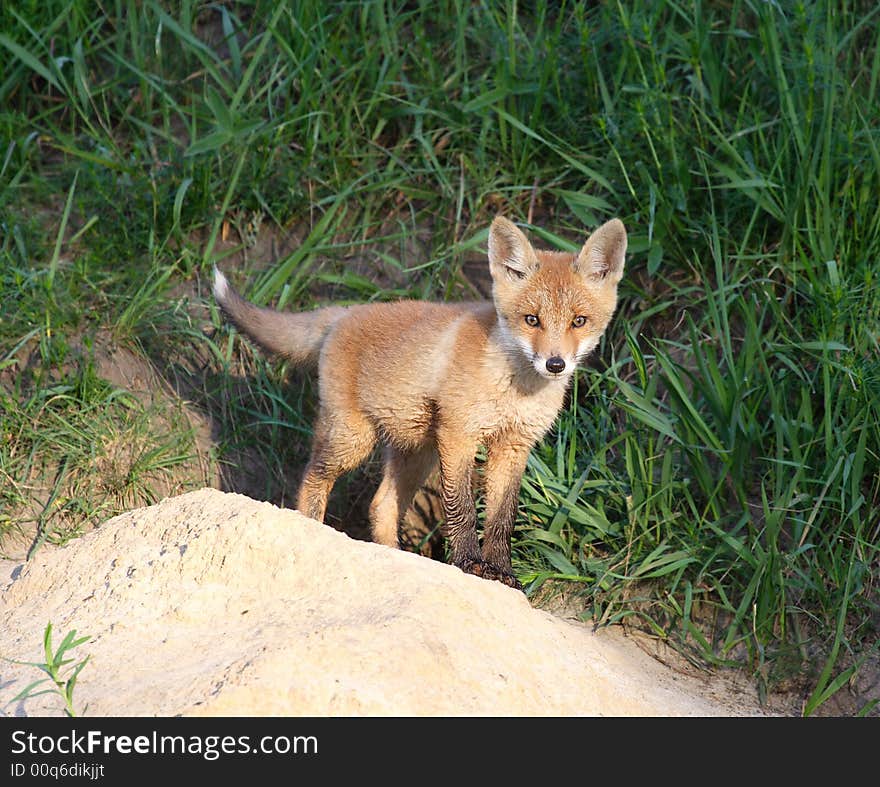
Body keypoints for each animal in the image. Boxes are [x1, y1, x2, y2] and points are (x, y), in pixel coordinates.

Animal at [213, 214, 624, 584]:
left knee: (380, 504)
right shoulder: (459, 436)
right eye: (532, 320)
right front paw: (469, 564)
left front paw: (503, 572)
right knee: (312, 478)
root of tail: (346, 312)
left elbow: (501, 518)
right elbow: (462, 510)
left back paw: (394, 557)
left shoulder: (513, 446)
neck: (514, 390)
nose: (555, 364)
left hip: (416, 452)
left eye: (579, 321)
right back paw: (311, 527)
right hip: (353, 440)